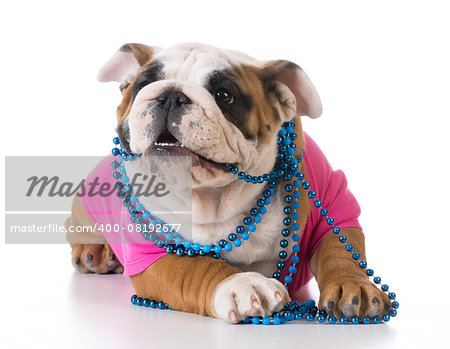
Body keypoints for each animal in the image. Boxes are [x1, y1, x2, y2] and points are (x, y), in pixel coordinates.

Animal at [66, 42, 390, 322]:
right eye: (143, 85)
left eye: (224, 95)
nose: (171, 95)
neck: (216, 199)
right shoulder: (152, 255)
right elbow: (195, 269)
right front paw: (242, 283)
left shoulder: (334, 203)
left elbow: (341, 248)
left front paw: (354, 285)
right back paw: (94, 251)